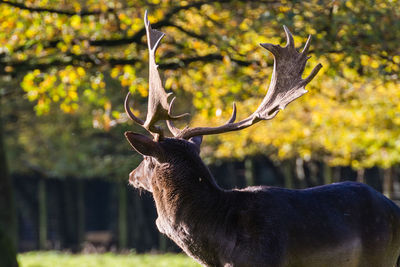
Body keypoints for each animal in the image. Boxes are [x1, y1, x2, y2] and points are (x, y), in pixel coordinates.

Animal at [123, 11, 400, 267]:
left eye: (146, 159)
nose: (131, 175)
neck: (220, 247)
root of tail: (395, 208)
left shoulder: (265, 259)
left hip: (379, 256)